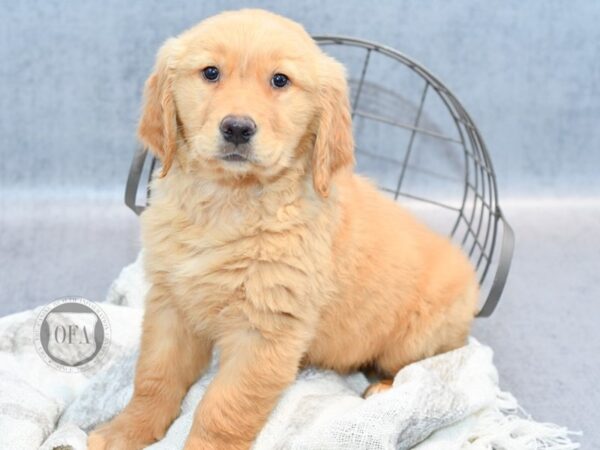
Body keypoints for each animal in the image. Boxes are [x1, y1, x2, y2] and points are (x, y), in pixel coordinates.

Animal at [88, 7, 478, 450]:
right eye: (210, 73)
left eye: (280, 80)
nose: (237, 128)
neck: (229, 202)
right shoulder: (172, 305)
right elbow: (154, 376)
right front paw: (126, 430)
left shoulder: (265, 330)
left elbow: (224, 408)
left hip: (420, 335)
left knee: (420, 366)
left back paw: (383, 388)